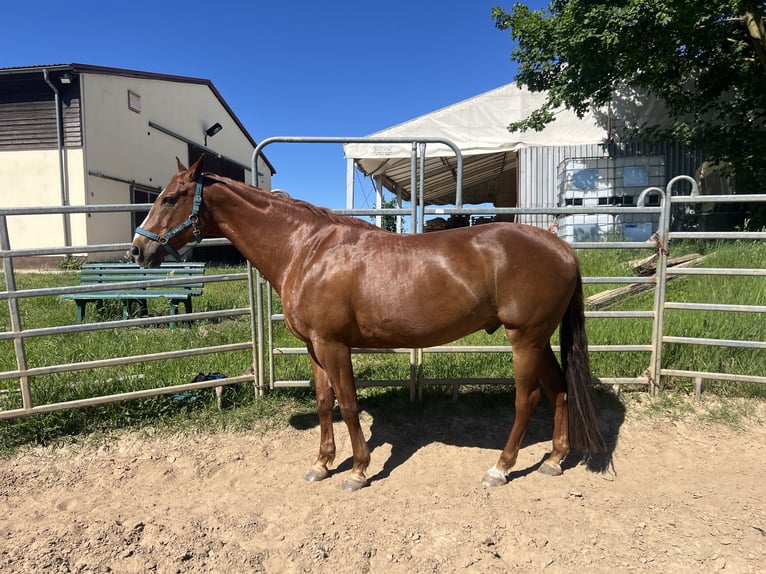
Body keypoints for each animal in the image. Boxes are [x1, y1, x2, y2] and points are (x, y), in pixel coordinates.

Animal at [130, 156, 605, 491]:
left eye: (169, 198)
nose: (138, 250)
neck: (306, 250)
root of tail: (561, 248)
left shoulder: (334, 345)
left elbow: (349, 404)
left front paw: (357, 471)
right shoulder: (314, 347)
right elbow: (326, 403)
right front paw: (321, 464)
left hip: (525, 339)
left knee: (528, 399)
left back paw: (501, 469)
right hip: (540, 340)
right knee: (560, 389)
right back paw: (553, 461)